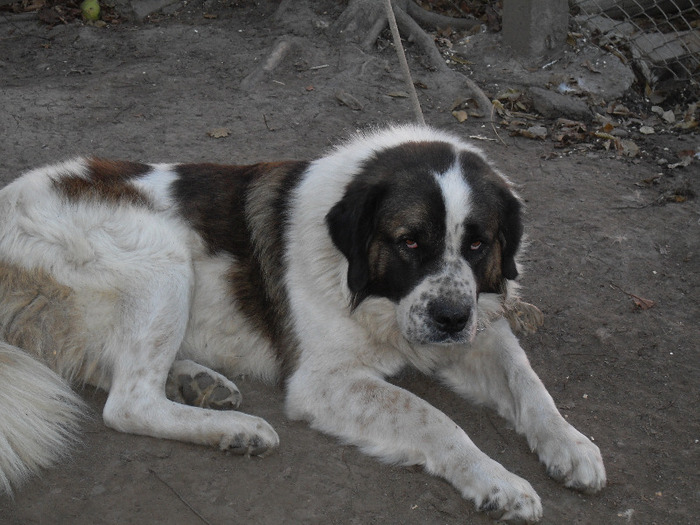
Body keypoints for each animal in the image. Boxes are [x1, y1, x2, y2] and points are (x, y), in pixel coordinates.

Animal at [0, 126, 600, 520]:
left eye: (477, 244)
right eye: (409, 242)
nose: (450, 318)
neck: (367, 290)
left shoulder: (478, 330)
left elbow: (528, 383)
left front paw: (571, 444)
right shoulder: (325, 380)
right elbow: (433, 418)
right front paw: (497, 480)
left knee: (107, 371)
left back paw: (198, 383)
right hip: (161, 253)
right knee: (128, 403)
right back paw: (236, 429)